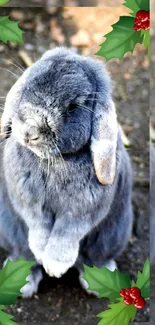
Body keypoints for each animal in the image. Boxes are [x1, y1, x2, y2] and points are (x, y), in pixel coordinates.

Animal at [0, 47, 133, 296]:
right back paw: (21, 284)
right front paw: (42, 254)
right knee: (22, 255)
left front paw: (54, 266)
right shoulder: (28, 201)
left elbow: (66, 232)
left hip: (114, 234)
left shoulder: (82, 210)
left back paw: (102, 280)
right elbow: (38, 224)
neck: (53, 160)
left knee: (93, 259)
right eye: (26, 87)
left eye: (72, 107)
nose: (29, 132)